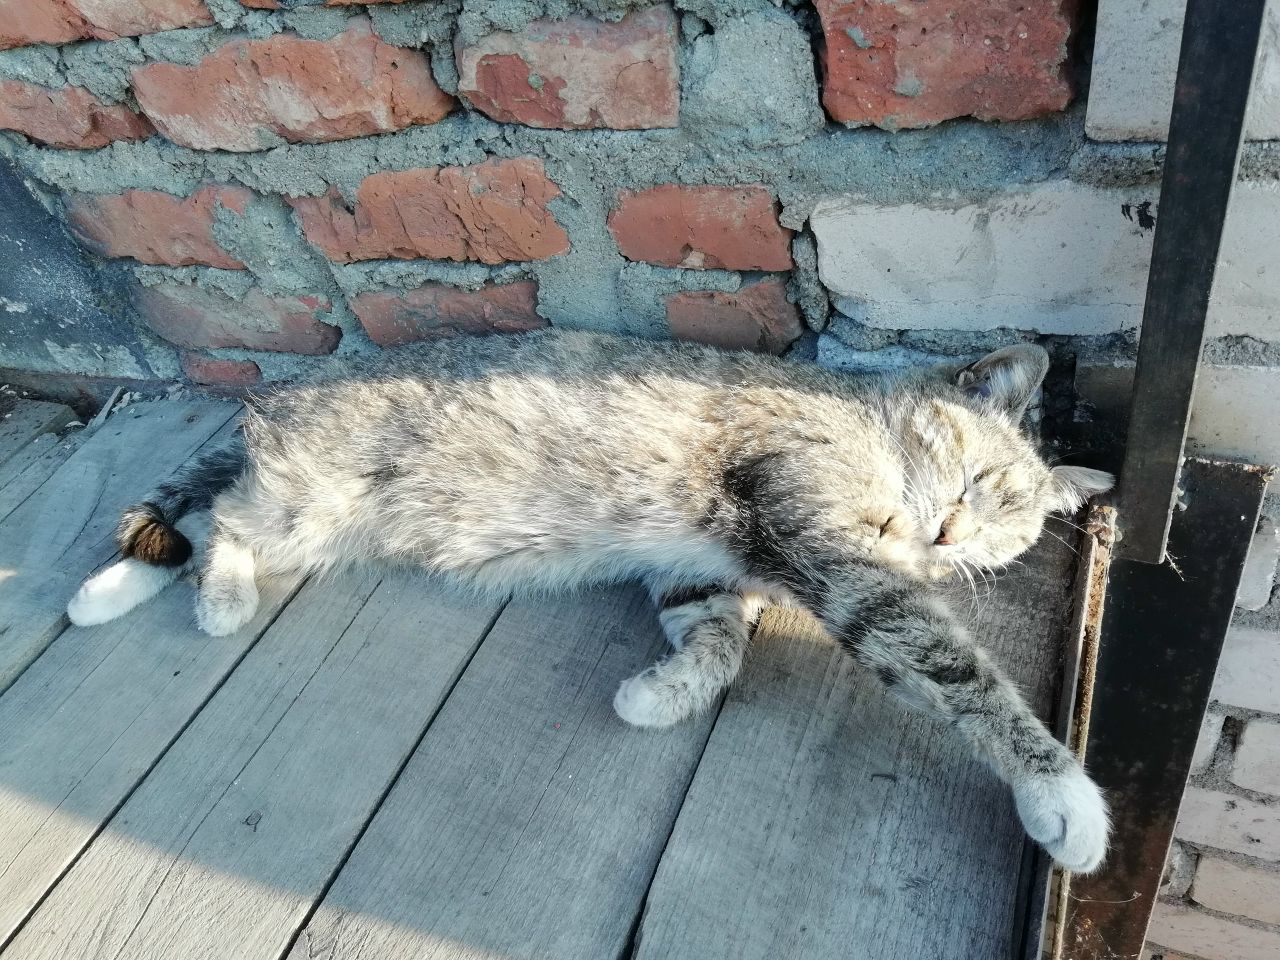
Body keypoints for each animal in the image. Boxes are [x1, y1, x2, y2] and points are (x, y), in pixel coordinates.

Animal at [67, 329, 1114, 873]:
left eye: (1006, 527)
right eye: (978, 476)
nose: (951, 539)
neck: (867, 429)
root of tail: (286, 391)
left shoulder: (699, 571)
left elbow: (717, 644)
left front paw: (657, 695)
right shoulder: (822, 547)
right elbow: (949, 664)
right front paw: (1060, 791)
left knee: (210, 509)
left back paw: (115, 590)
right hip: (306, 500)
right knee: (219, 519)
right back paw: (195, 597)